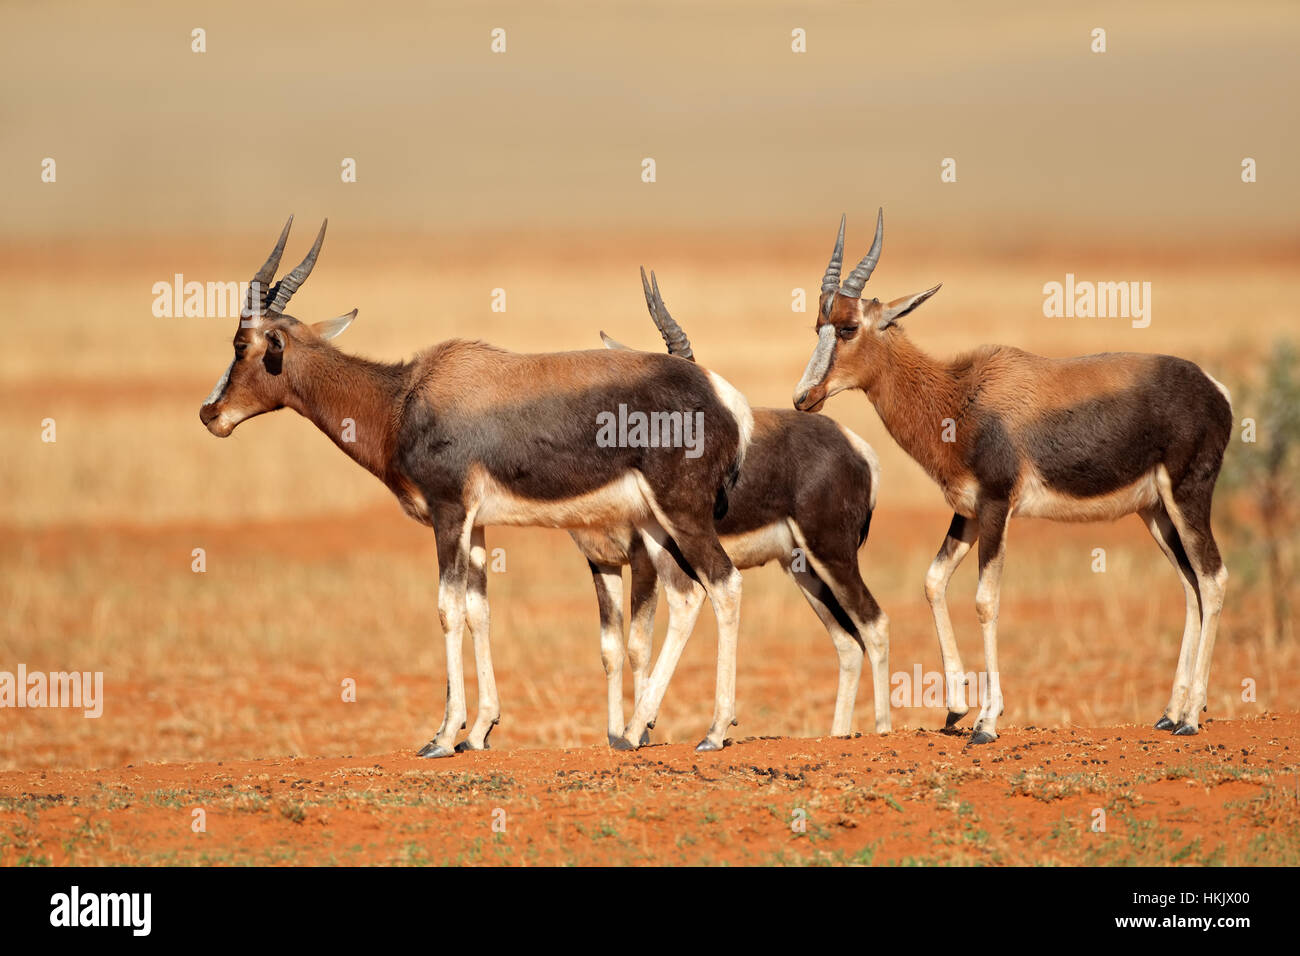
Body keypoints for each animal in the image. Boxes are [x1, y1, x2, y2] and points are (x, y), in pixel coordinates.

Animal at [197, 217, 759, 754]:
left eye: (241, 344)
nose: (210, 413)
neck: (404, 398)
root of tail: (724, 397)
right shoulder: (477, 524)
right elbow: (478, 610)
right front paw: (480, 729)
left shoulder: (448, 513)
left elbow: (447, 609)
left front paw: (443, 737)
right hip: (655, 525)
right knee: (686, 596)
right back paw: (641, 726)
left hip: (680, 515)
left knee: (724, 583)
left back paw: (712, 731)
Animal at [574, 269, 889, 749]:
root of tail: (859, 448)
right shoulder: (602, 561)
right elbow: (611, 650)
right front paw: (617, 734)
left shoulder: (647, 559)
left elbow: (638, 645)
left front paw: (640, 730)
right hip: (804, 569)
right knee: (848, 642)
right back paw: (837, 735)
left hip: (832, 555)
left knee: (873, 624)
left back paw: (883, 731)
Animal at [790, 210, 1227, 749]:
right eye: (818, 325)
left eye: (849, 327)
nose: (803, 397)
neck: (963, 396)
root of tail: (1214, 389)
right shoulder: (969, 511)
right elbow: (933, 581)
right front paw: (956, 706)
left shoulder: (998, 508)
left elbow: (984, 601)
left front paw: (986, 722)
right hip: (1156, 512)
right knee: (1190, 585)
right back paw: (1171, 712)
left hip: (1188, 498)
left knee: (1212, 579)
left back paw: (1191, 717)